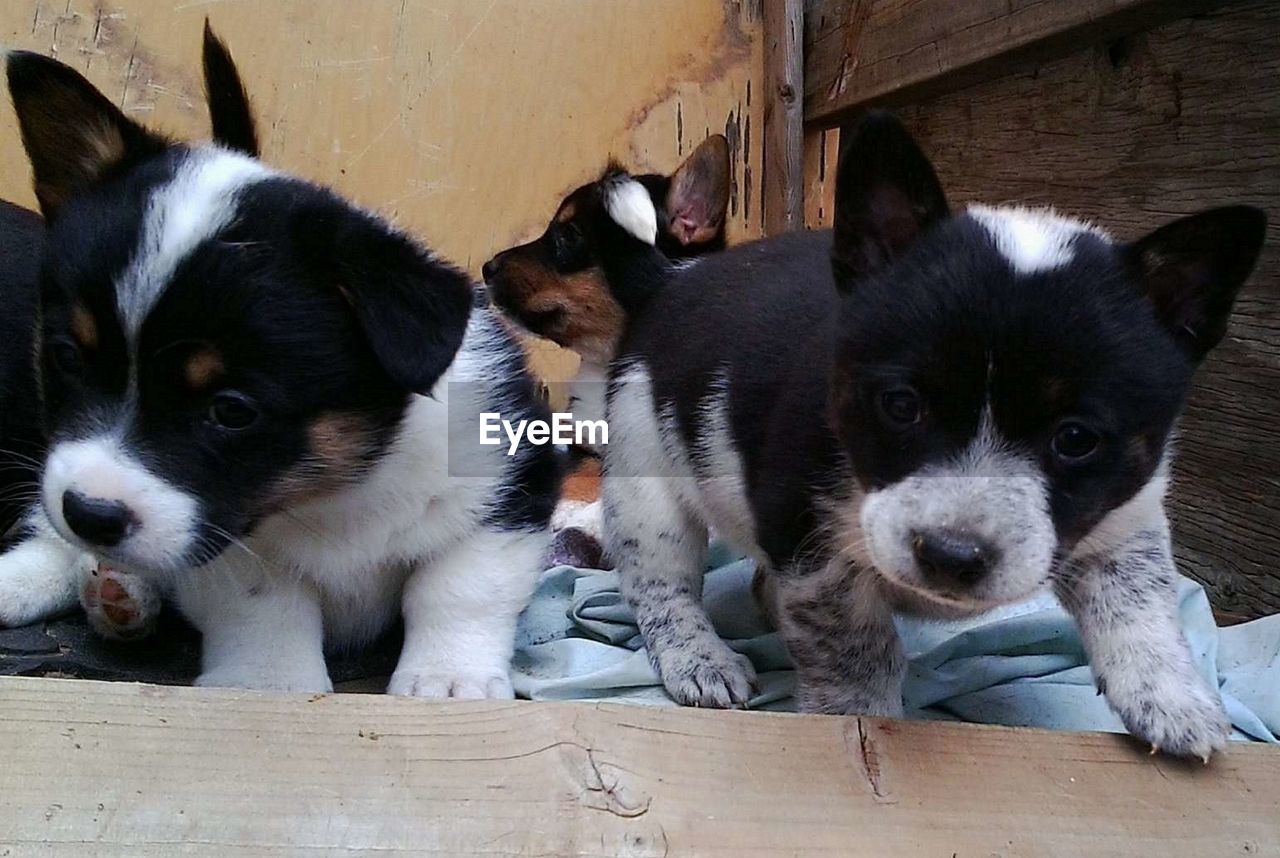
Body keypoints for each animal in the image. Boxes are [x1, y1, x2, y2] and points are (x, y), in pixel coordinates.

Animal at [1, 28, 560, 696]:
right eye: (66, 356)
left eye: (232, 410)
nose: (90, 513)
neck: (336, 495)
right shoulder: (231, 548)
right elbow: (265, 605)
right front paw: (268, 684)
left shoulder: (510, 493)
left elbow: (459, 588)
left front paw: (448, 681)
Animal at [604, 109, 1264, 758]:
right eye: (902, 406)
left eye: (1077, 439)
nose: (951, 556)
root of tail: (669, 279)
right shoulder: (813, 544)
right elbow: (855, 645)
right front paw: (855, 719)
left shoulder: (1125, 519)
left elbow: (1138, 605)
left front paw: (1172, 698)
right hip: (646, 486)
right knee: (660, 586)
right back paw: (698, 658)